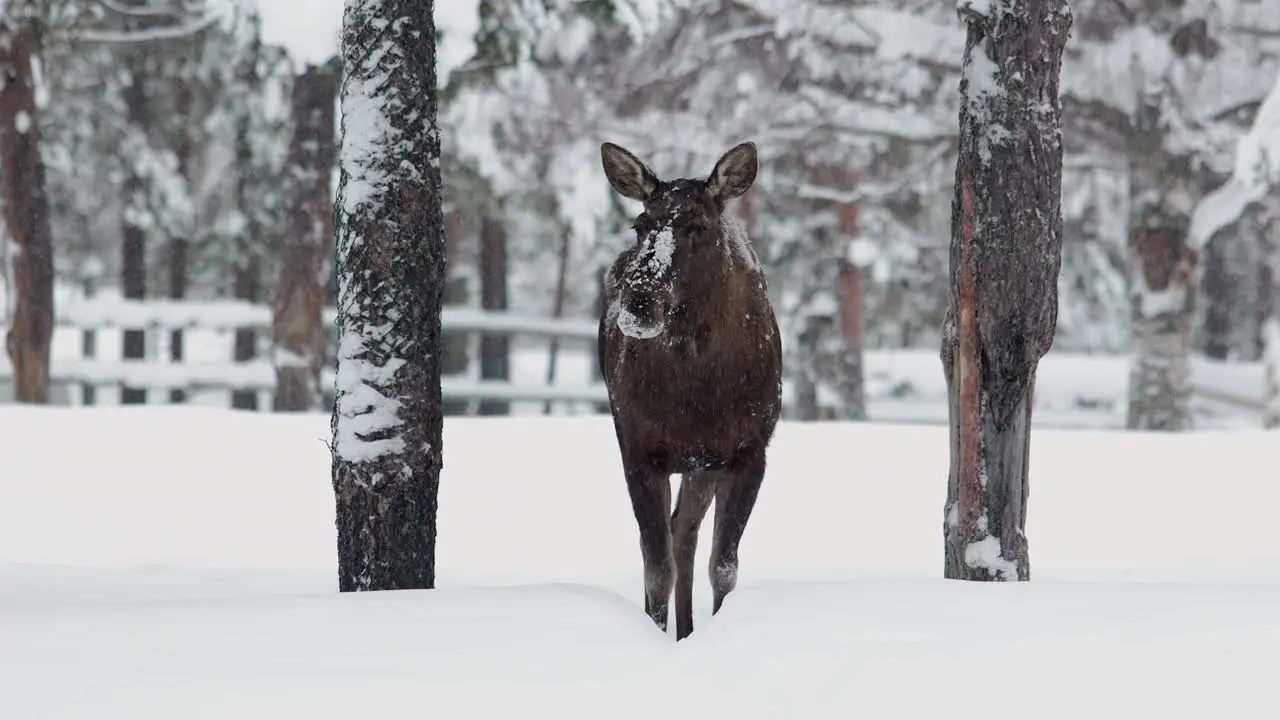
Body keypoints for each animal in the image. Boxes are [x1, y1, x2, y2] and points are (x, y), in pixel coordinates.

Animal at [593, 140, 783, 638]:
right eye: (640, 224)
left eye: (697, 226)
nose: (639, 303)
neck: (698, 395)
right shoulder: (639, 449)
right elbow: (656, 568)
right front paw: (656, 636)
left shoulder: (749, 451)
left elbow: (724, 566)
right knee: (667, 540)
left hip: (704, 463)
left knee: (685, 533)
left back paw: (690, 628)